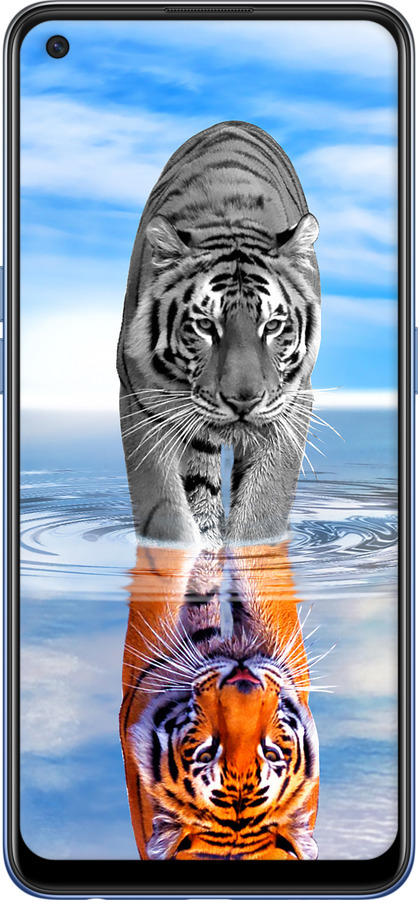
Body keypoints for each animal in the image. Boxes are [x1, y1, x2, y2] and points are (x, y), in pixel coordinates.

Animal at [117, 120, 321, 548]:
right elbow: (165, 511)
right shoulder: (141, 401)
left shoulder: (292, 404)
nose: (243, 401)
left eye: (272, 326)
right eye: (205, 326)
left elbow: (263, 509)